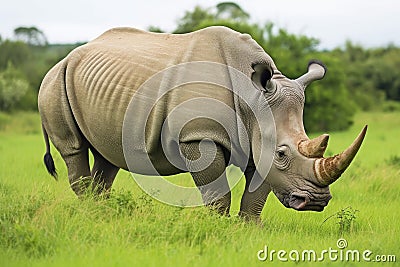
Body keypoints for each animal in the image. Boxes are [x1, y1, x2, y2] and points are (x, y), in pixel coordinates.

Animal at [39, 26, 368, 221]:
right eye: (282, 154)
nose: (315, 201)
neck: (252, 97)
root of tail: (64, 58)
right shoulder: (197, 135)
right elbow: (217, 194)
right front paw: (217, 230)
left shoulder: (257, 134)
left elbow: (255, 195)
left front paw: (249, 230)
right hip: (54, 82)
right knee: (74, 149)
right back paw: (89, 214)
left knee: (107, 157)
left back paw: (102, 215)